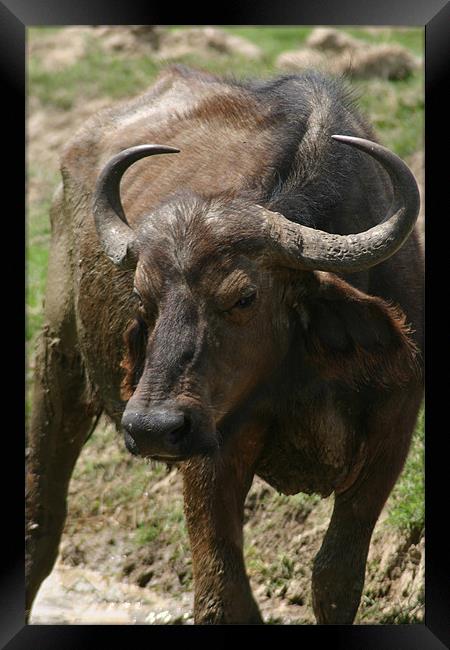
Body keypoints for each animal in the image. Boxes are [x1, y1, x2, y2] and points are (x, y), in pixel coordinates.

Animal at [26, 66, 424, 624]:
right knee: (40, 523)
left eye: (244, 296)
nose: (152, 427)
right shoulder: (210, 447)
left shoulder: (394, 428)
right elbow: (223, 593)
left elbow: (336, 577)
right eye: (143, 297)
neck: (301, 365)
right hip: (57, 360)